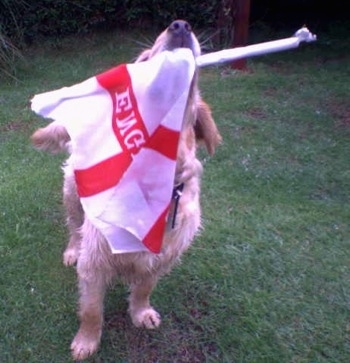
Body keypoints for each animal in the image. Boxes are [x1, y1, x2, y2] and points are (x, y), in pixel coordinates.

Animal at [30, 19, 221, 362]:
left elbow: (144, 287)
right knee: (74, 228)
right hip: (72, 195)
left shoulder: (163, 256)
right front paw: (86, 341)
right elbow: (91, 310)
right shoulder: (94, 261)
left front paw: (140, 312)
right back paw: (71, 250)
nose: (180, 25)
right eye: (143, 60)